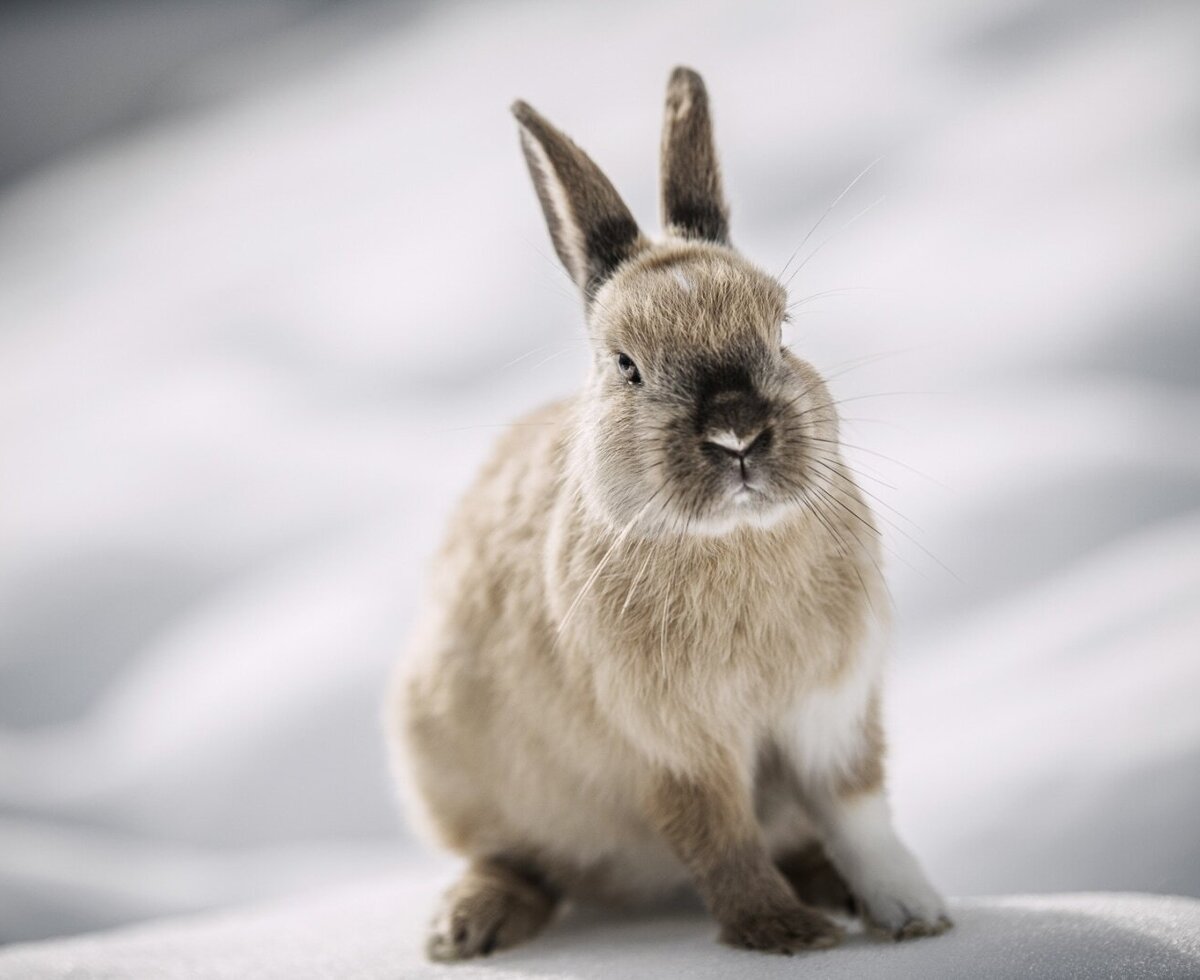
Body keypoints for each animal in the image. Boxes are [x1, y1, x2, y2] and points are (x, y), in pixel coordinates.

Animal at [387, 66, 951, 961]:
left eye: (782, 328)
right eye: (627, 366)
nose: (738, 433)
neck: (734, 540)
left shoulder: (830, 716)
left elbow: (859, 813)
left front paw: (912, 913)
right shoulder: (678, 746)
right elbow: (717, 833)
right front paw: (786, 934)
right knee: (519, 859)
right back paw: (467, 928)